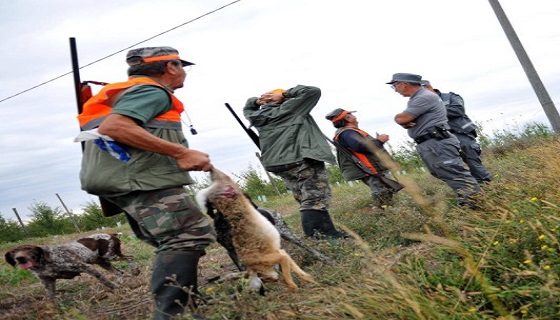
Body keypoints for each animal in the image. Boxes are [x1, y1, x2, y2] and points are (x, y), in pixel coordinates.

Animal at [4, 232, 138, 300]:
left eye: (28, 248)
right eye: (13, 252)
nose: (20, 258)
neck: (43, 264)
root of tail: (109, 233)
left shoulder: (85, 267)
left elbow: (104, 280)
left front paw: (113, 287)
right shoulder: (48, 283)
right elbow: (50, 299)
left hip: (110, 256)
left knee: (130, 258)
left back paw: (135, 270)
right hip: (103, 262)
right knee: (119, 272)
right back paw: (121, 282)